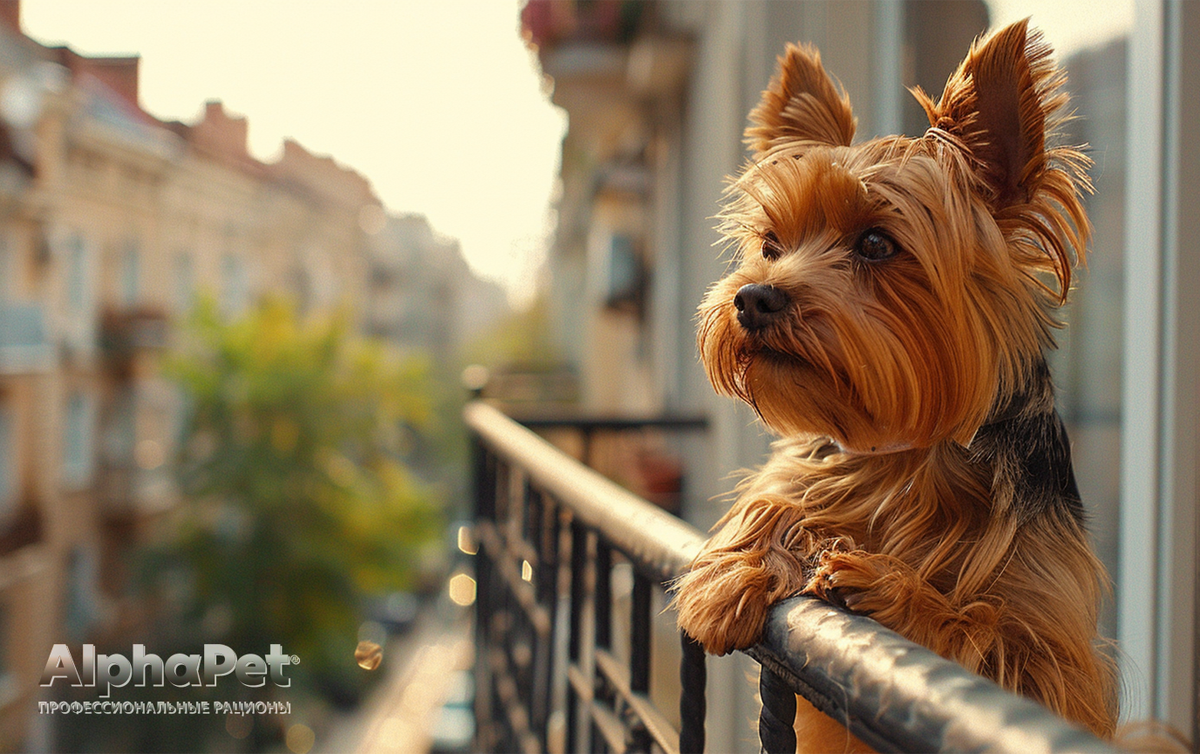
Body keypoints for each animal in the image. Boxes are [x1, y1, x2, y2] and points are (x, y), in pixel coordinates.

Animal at [672, 17, 1118, 749]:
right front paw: (732, 573)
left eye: (877, 244)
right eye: (771, 244)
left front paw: (891, 591)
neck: (901, 453)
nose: (754, 298)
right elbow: (776, 495)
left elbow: (995, 638)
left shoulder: (1061, 676)